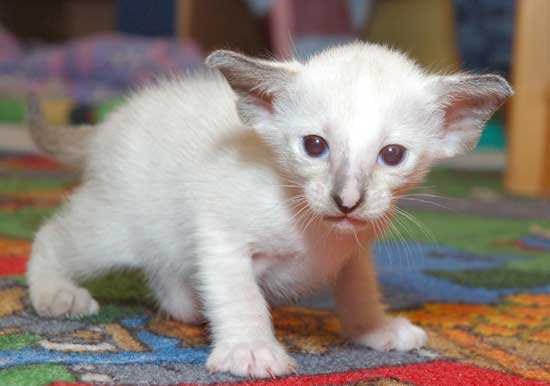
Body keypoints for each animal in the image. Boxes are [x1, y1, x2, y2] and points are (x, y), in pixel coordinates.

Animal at [28, 42, 516, 376]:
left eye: (392, 155)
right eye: (314, 146)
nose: (347, 200)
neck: (315, 230)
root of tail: (106, 124)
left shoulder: (354, 249)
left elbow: (359, 292)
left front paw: (376, 330)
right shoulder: (220, 235)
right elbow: (240, 295)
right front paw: (250, 349)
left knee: (168, 280)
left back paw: (189, 305)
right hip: (117, 226)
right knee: (52, 235)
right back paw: (55, 294)